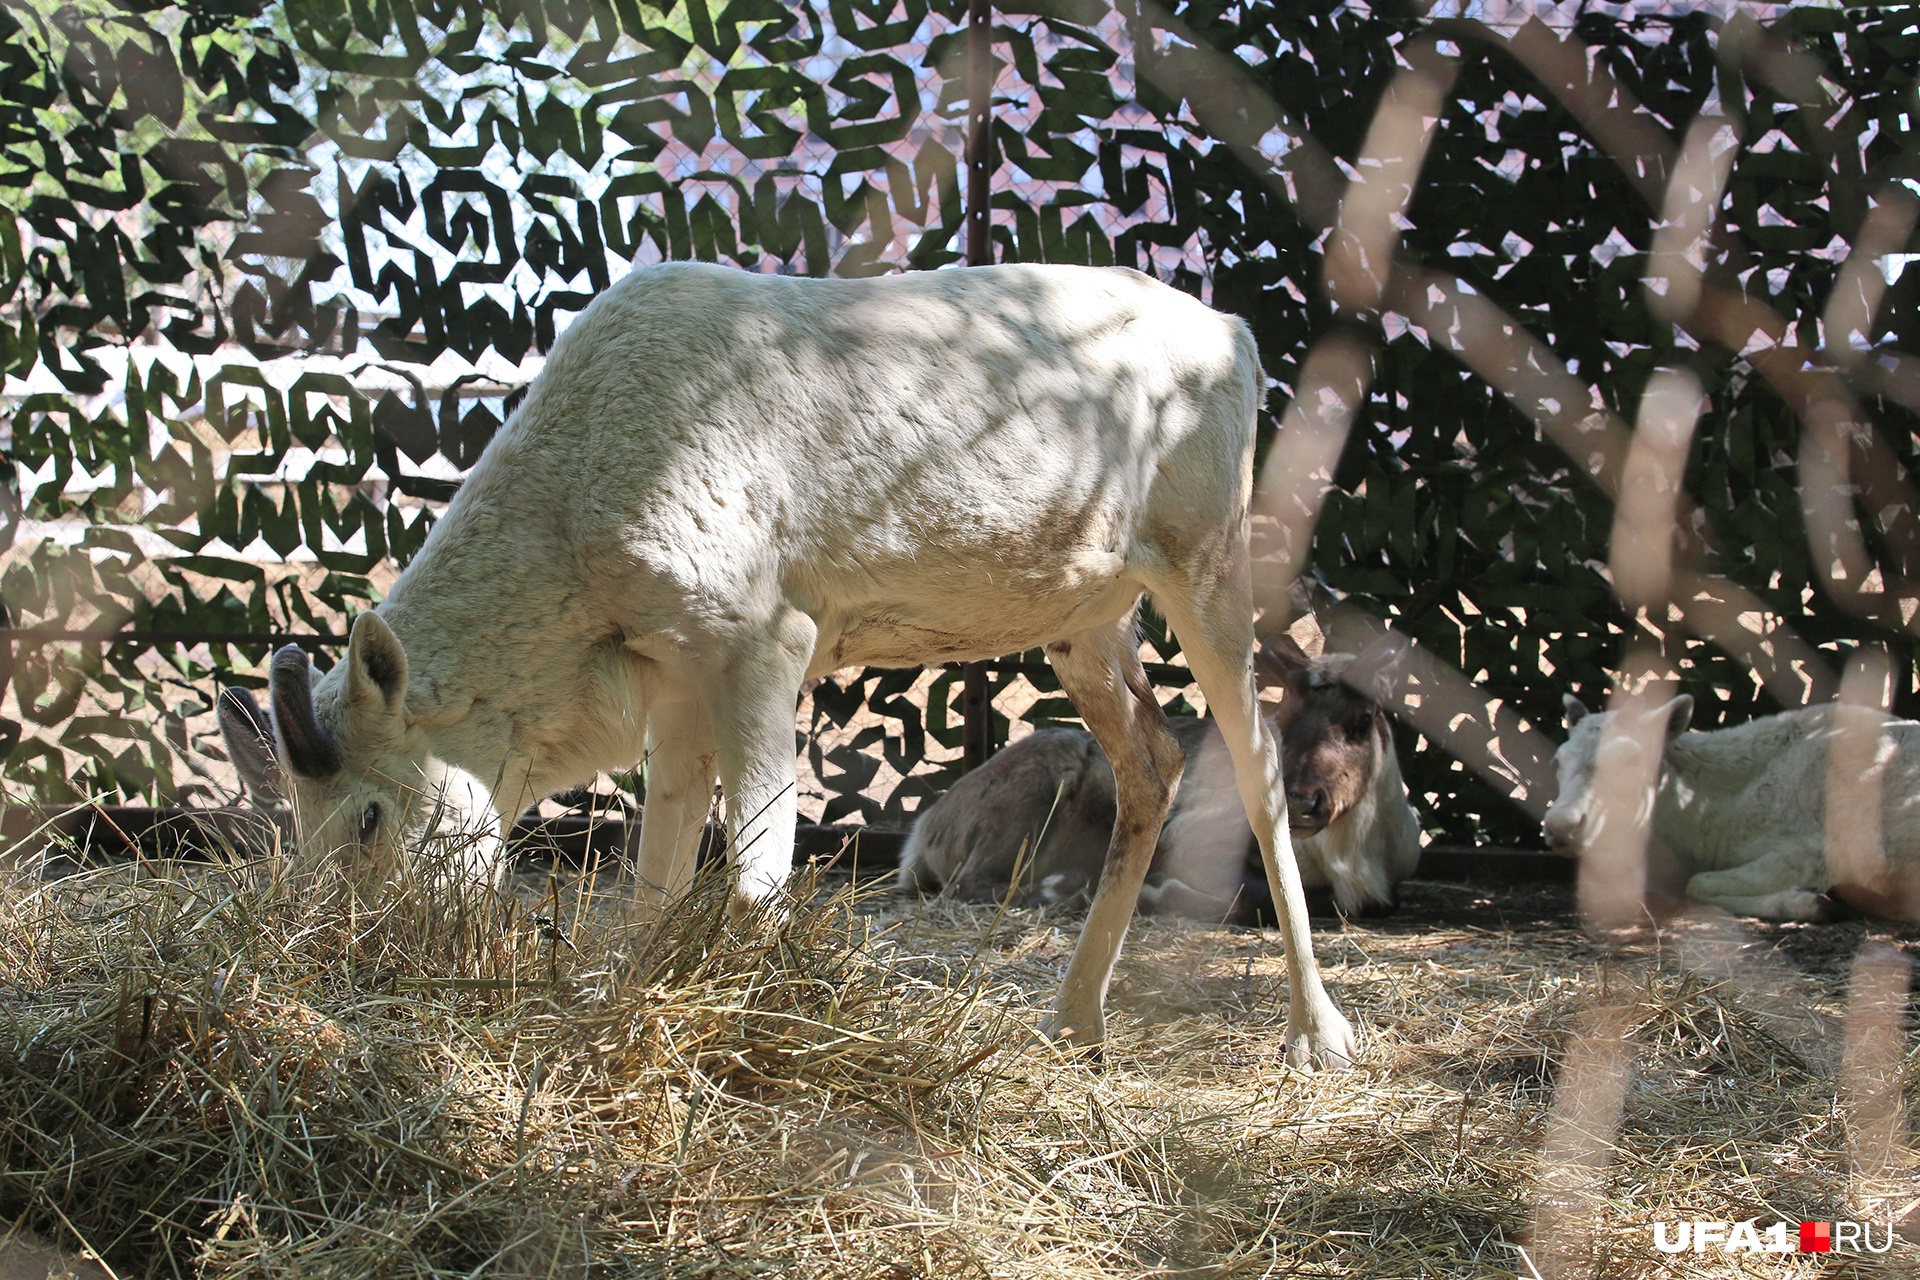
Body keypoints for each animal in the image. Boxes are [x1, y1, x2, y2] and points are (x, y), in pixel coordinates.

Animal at [232, 257, 1359, 1059]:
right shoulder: (675, 670)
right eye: (297, 829)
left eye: (368, 817)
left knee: (1257, 760)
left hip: (1207, 555)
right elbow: (654, 868)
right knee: (1154, 759)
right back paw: (1075, 1018)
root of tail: (1242, 337)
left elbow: (755, 877)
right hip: (1088, 618)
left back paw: (1318, 1035)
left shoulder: (765, 634)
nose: (347, 961)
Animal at [902, 637, 1428, 921]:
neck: (1355, 852)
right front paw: (1155, 892)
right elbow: (1246, 896)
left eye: (1363, 719)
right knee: (967, 885)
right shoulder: (1189, 832)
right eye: (1282, 715)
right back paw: (1066, 886)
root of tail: (921, 831)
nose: (1299, 801)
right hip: (1032, 792)